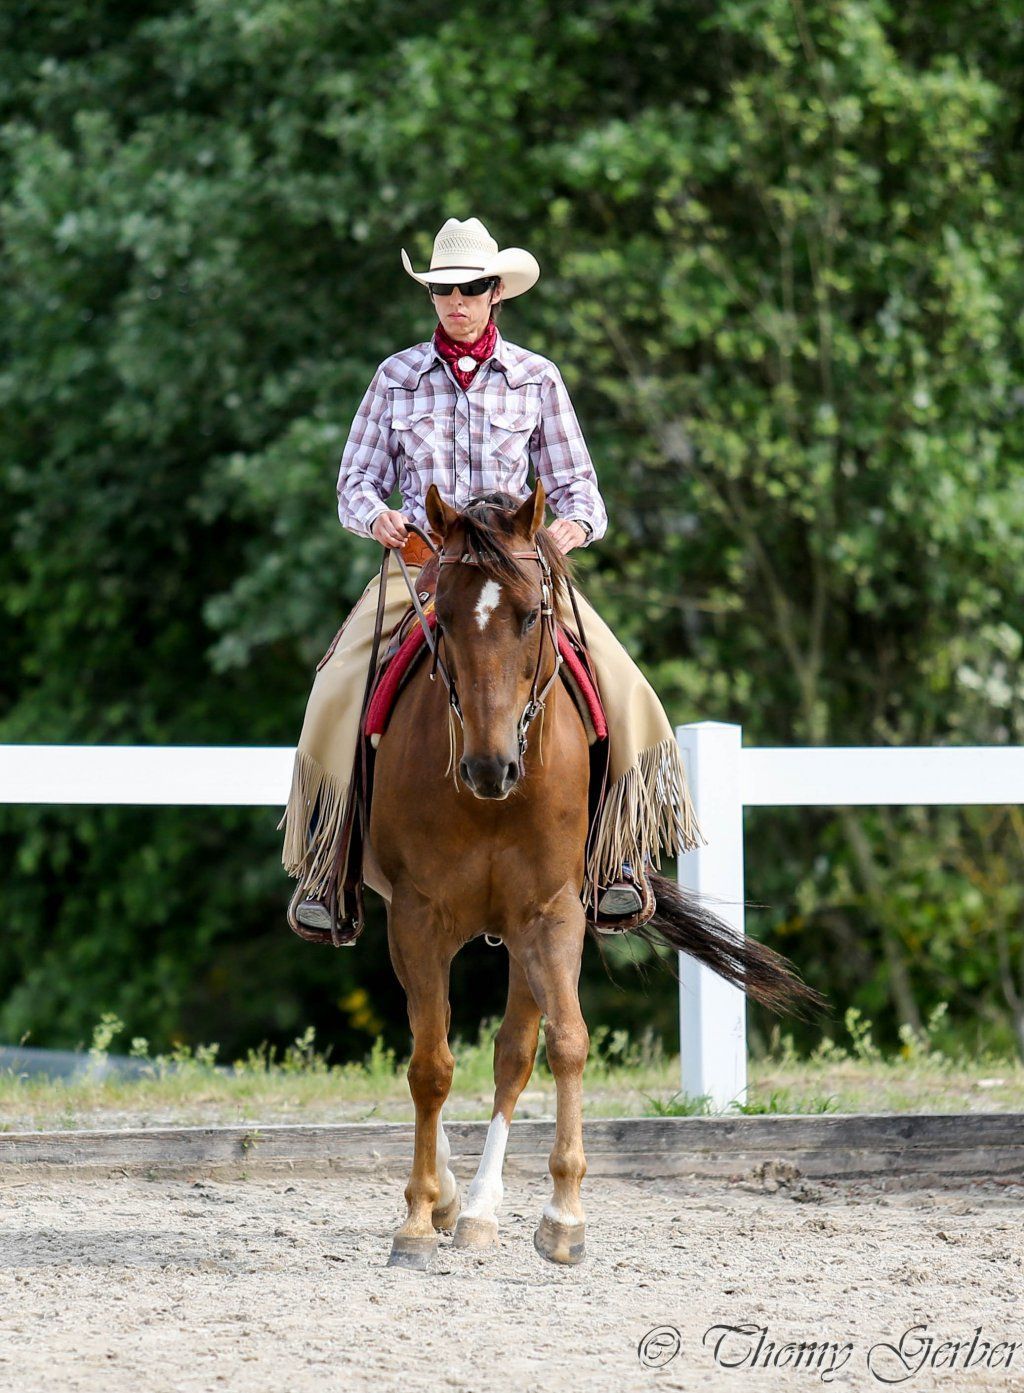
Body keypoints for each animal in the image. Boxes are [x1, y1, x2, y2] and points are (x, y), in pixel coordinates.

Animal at [363, 481, 814, 1269]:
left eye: (530, 613)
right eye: (441, 616)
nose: (489, 767)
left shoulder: (551, 913)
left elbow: (563, 1044)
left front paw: (564, 1215)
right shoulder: (415, 916)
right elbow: (430, 1064)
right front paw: (418, 1216)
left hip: (522, 933)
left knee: (514, 1051)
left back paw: (479, 1207)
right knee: (431, 1040)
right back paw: (449, 1197)